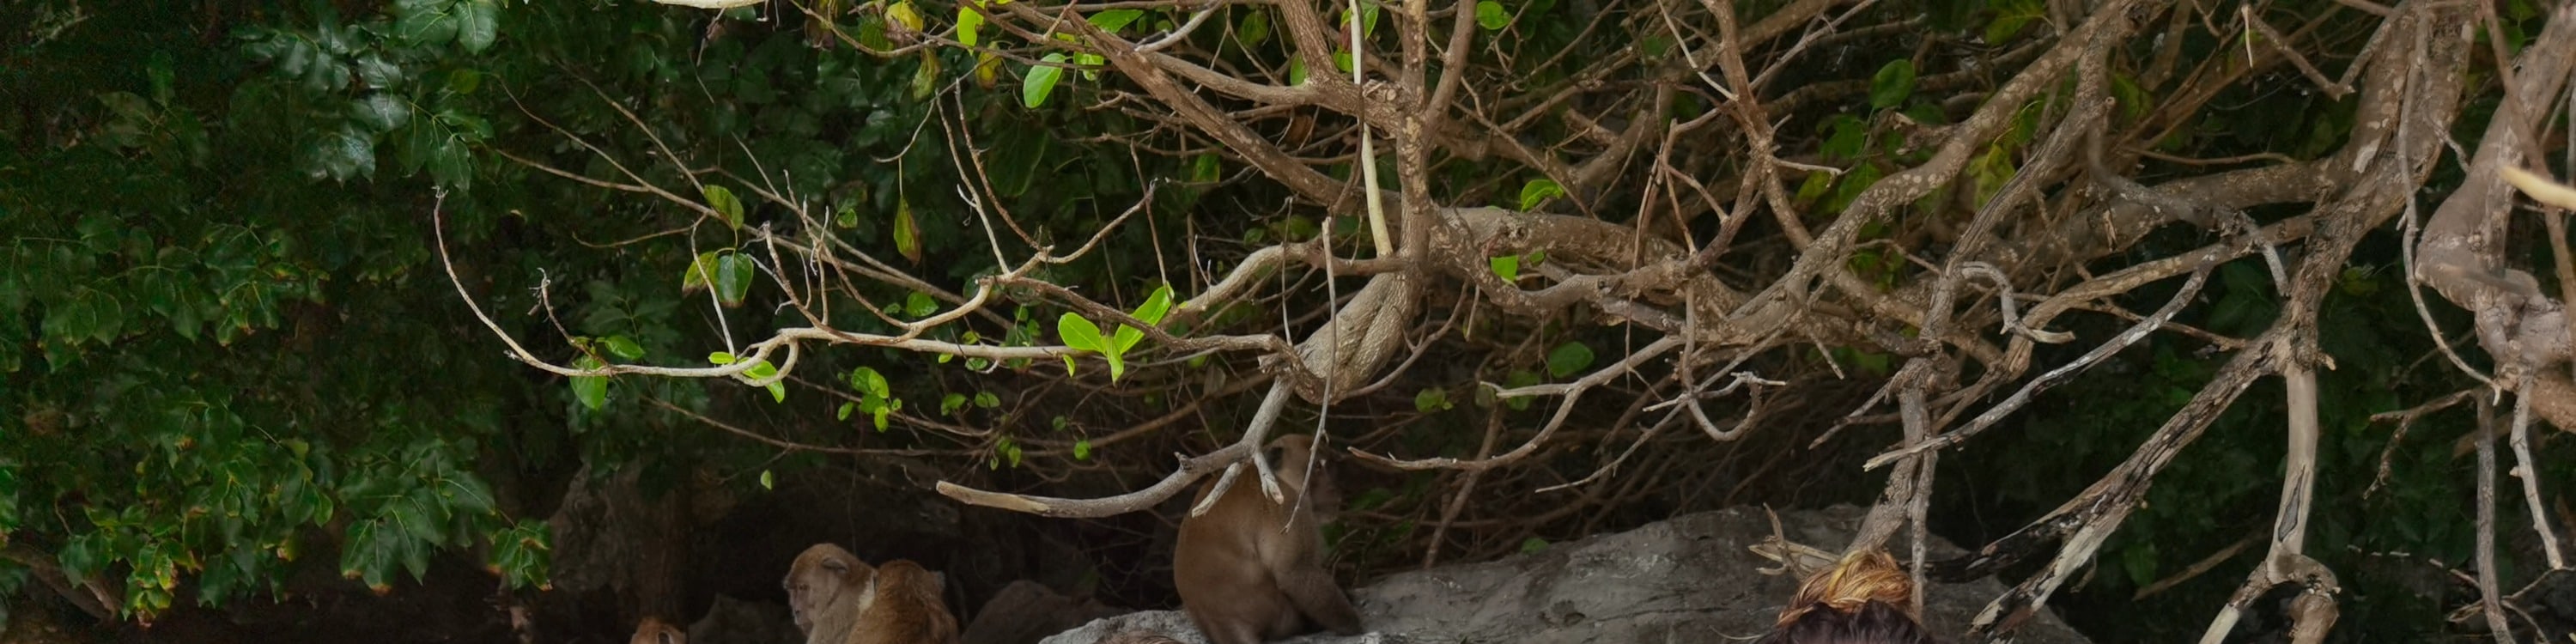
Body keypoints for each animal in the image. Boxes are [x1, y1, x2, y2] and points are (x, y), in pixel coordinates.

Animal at [1175, 433, 1370, 644]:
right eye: (1317, 466)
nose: (1334, 489)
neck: (1280, 479)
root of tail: (1225, 625)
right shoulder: (1289, 508)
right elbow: (1294, 572)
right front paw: (1350, 624)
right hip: (1279, 615)